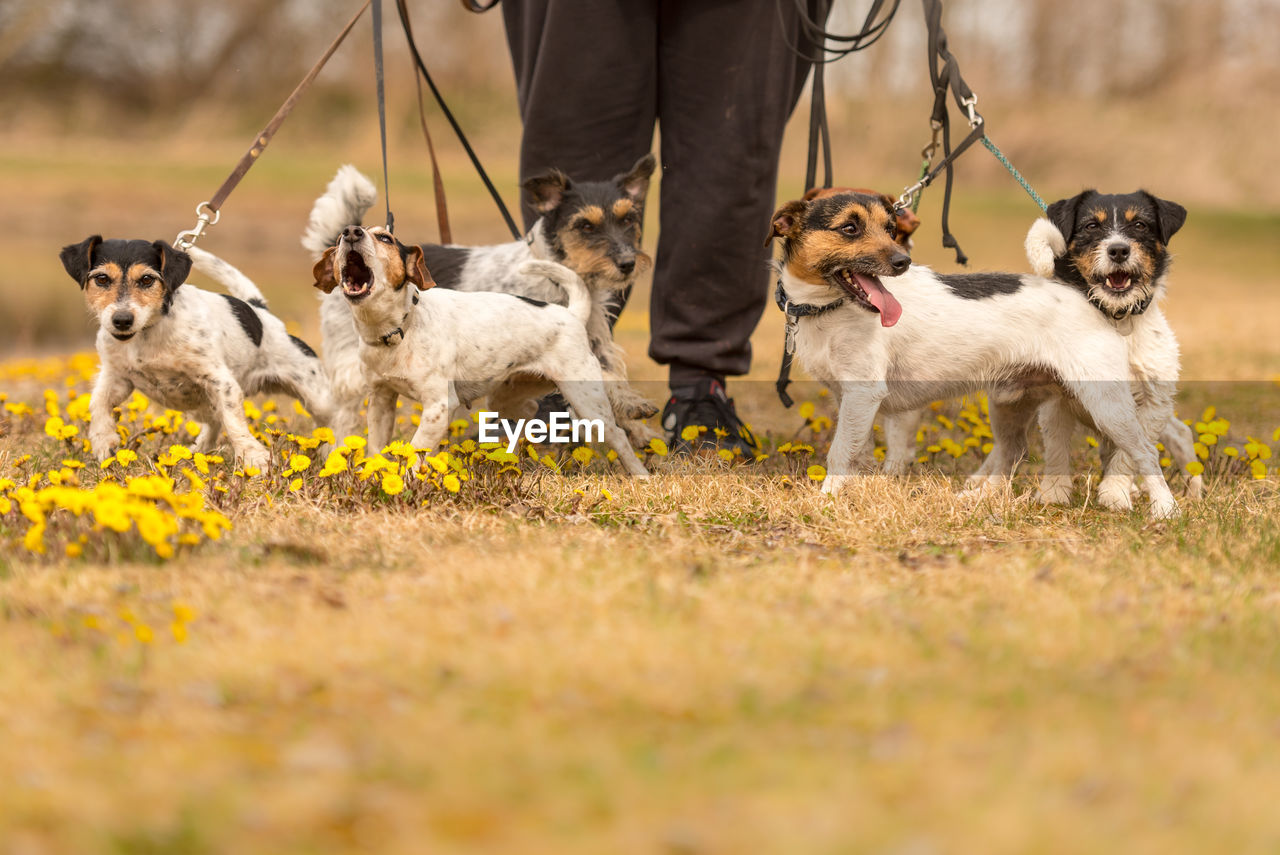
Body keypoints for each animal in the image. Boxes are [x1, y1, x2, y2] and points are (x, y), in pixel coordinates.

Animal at [60, 236, 332, 471]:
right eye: (102, 278)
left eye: (147, 279)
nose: (122, 320)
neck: (148, 333)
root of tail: (260, 310)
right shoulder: (117, 376)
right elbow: (98, 402)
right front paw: (103, 441)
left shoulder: (221, 382)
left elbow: (234, 422)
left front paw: (253, 458)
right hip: (204, 403)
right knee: (213, 422)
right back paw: (197, 451)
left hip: (316, 397)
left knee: (332, 422)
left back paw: (332, 451)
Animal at [302, 156, 660, 445]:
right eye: (586, 225)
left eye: (628, 220)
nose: (628, 263)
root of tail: (338, 239)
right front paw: (634, 408)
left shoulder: (592, 340)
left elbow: (610, 375)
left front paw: (637, 423)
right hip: (351, 370)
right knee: (343, 417)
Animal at [309, 223, 650, 478]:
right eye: (339, 239)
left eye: (385, 238)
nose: (351, 232)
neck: (397, 330)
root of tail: (571, 314)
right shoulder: (381, 400)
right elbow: (377, 447)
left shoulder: (439, 405)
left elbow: (415, 449)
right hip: (507, 395)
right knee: (526, 416)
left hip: (586, 399)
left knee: (618, 435)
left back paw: (640, 474)